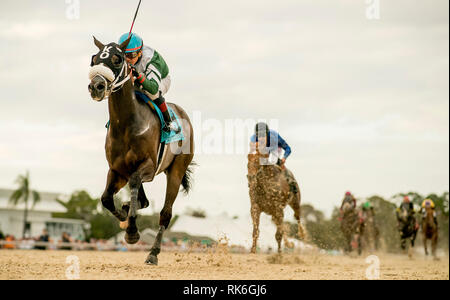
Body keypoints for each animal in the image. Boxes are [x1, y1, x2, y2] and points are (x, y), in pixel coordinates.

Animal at [87, 35, 193, 264]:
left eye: (117, 59)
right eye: (95, 58)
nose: (96, 86)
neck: (126, 123)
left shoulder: (149, 167)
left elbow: (135, 184)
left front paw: (132, 231)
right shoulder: (117, 170)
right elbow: (106, 198)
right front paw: (123, 216)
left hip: (176, 171)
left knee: (165, 213)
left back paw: (153, 253)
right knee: (142, 199)